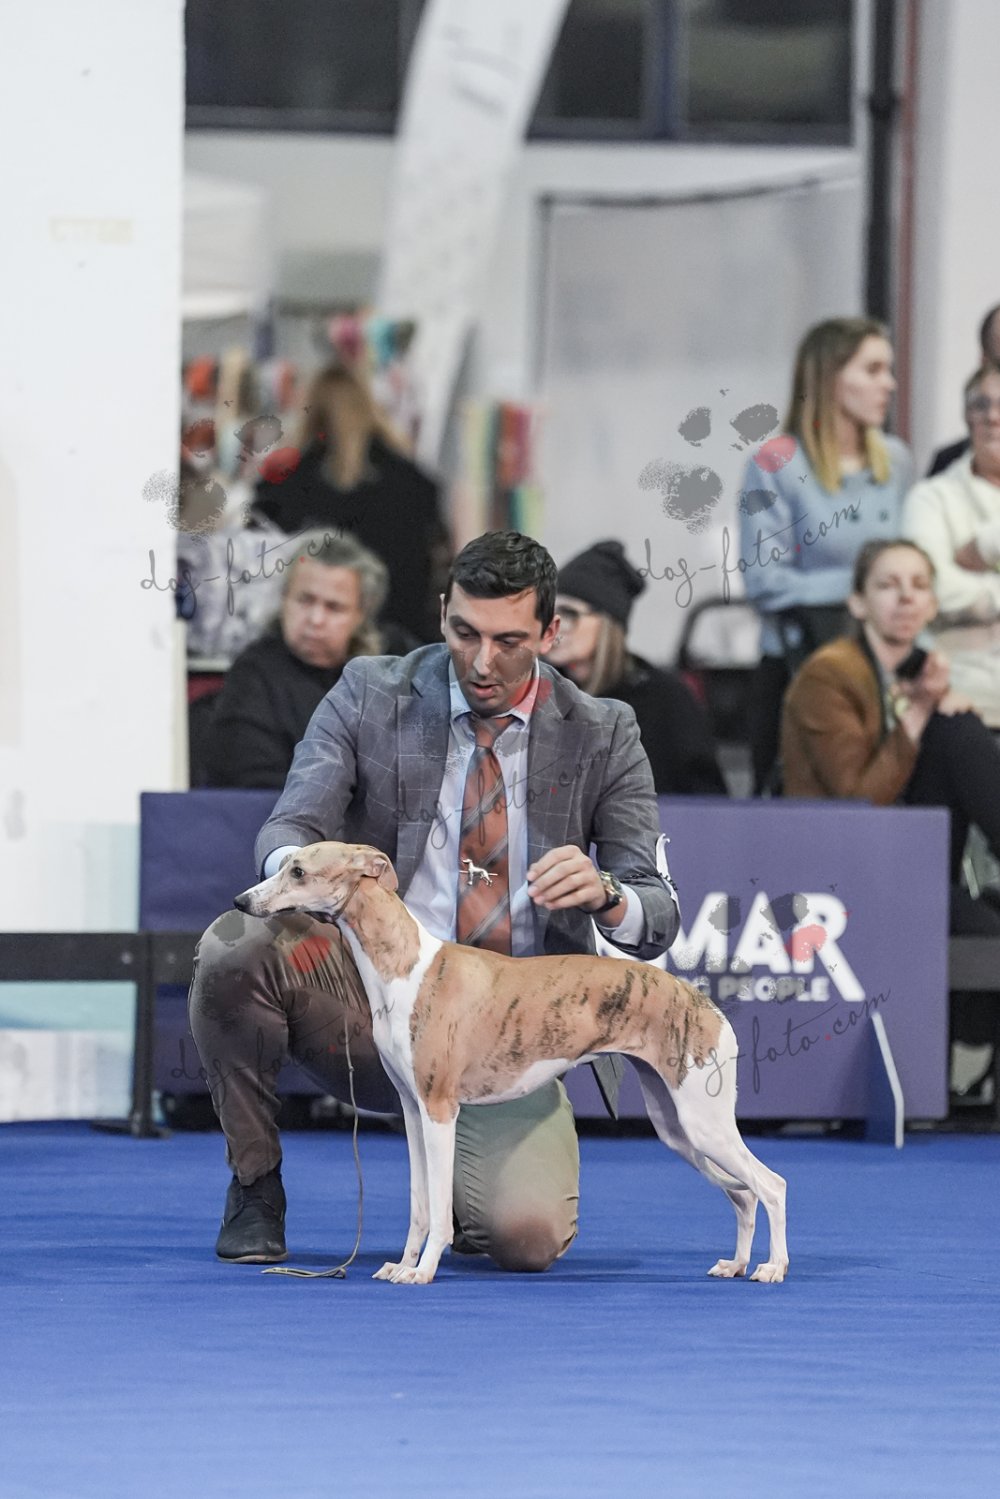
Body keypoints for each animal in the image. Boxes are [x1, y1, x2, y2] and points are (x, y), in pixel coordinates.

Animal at [235, 842, 788, 1286]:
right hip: (677, 1127)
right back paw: (736, 1264)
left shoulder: (440, 1110)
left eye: (299, 872)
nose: (241, 902)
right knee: (743, 1195)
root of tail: (703, 1002)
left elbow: (439, 1212)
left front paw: (423, 1271)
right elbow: (419, 1206)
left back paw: (771, 1268)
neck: (405, 967)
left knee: (770, 1186)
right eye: (285, 864)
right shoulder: (413, 1112)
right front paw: (402, 1264)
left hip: (704, 1122)